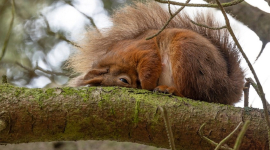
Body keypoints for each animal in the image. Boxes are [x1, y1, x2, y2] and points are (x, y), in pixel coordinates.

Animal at [67, 1, 245, 105]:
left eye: (124, 80)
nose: (137, 86)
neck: (113, 59)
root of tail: (227, 85)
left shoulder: (141, 49)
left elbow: (150, 65)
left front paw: (147, 86)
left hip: (187, 56)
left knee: (195, 94)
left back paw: (171, 90)